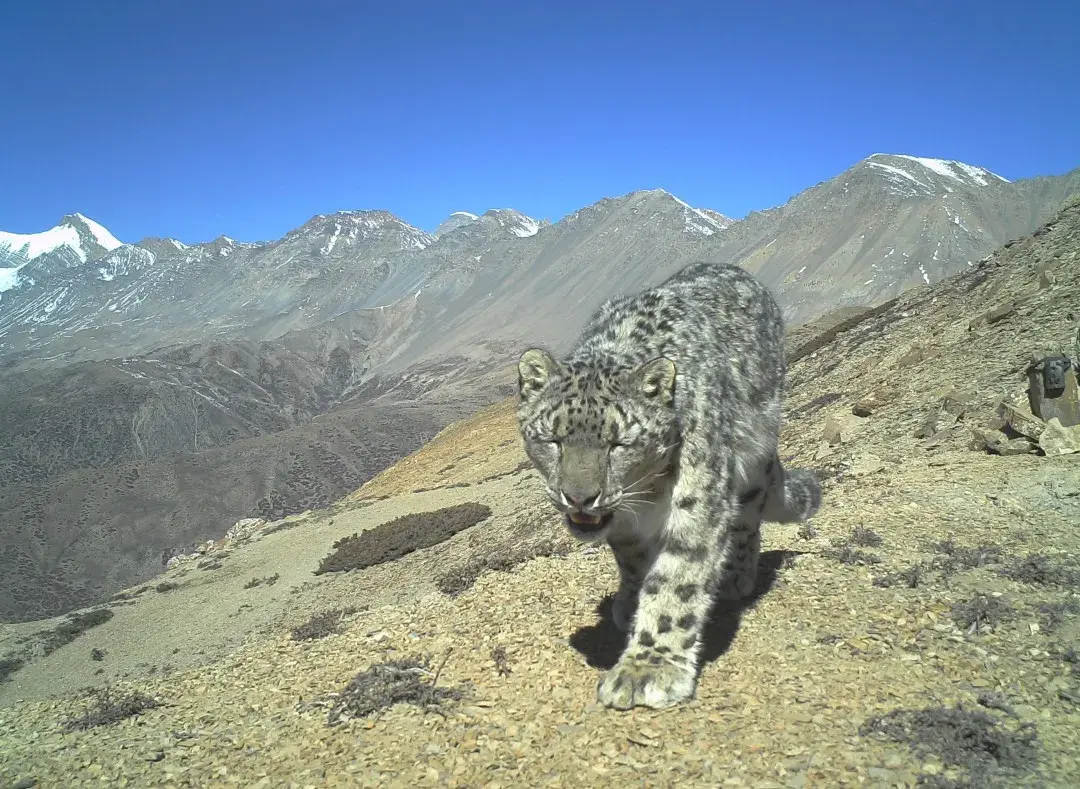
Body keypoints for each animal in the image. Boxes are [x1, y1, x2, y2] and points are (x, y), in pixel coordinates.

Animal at [514, 259, 816, 708]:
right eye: (553, 439)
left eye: (619, 443)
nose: (579, 497)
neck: (646, 496)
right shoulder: (624, 526)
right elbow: (634, 562)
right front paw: (632, 602)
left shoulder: (698, 496)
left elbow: (677, 579)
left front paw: (647, 668)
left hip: (754, 454)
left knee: (748, 515)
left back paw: (735, 576)